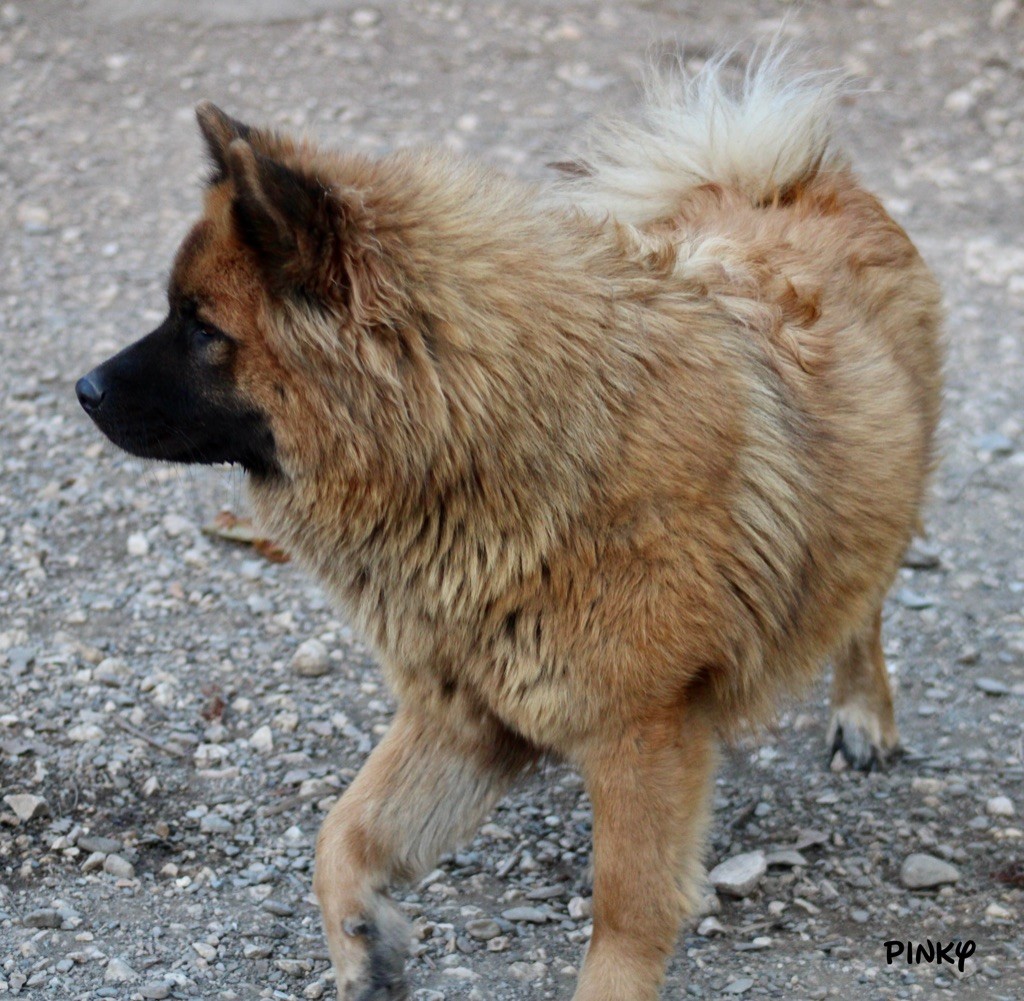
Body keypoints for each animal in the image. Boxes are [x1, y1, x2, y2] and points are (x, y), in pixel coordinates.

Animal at [77, 52, 942, 998]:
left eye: (202, 328)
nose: (83, 388)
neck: (488, 439)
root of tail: (785, 180)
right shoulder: (465, 714)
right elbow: (341, 835)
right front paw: (364, 945)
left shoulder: (642, 730)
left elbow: (627, 909)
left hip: (881, 504)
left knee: (865, 599)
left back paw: (863, 713)